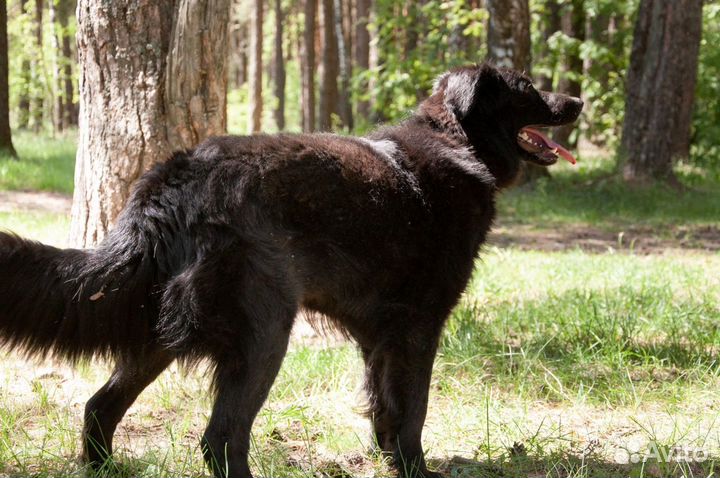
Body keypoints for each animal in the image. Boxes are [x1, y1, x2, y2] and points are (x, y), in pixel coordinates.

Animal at [0, 64, 584, 478]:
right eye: (528, 87)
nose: (578, 100)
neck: (457, 142)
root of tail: (174, 181)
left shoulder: (380, 338)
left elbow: (385, 412)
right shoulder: (418, 329)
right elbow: (412, 414)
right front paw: (414, 470)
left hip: (159, 336)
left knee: (100, 407)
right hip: (265, 334)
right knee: (220, 439)